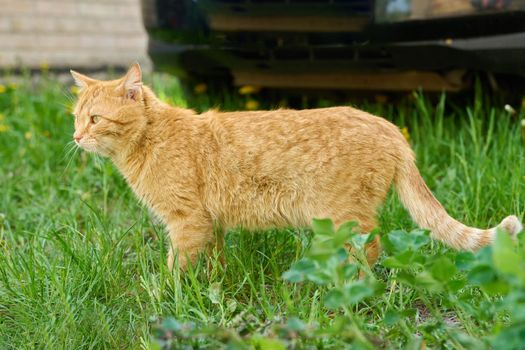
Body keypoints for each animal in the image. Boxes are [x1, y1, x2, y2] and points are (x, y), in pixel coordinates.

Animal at [68, 63, 520, 270]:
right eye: (75, 117)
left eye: (95, 119)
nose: (74, 137)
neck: (151, 140)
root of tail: (389, 127)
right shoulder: (208, 224)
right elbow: (212, 263)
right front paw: (210, 286)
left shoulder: (186, 221)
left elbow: (176, 269)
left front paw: (169, 297)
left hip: (342, 218)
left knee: (371, 249)